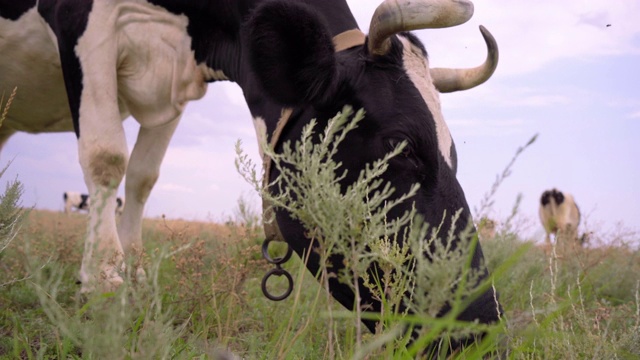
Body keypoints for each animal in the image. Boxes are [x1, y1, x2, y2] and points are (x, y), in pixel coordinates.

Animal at [1, 0, 500, 352]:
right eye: (400, 144)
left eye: (454, 153)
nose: (477, 328)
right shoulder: (82, 24)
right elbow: (106, 156)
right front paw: (105, 287)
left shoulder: (177, 85)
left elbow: (142, 176)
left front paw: (136, 282)